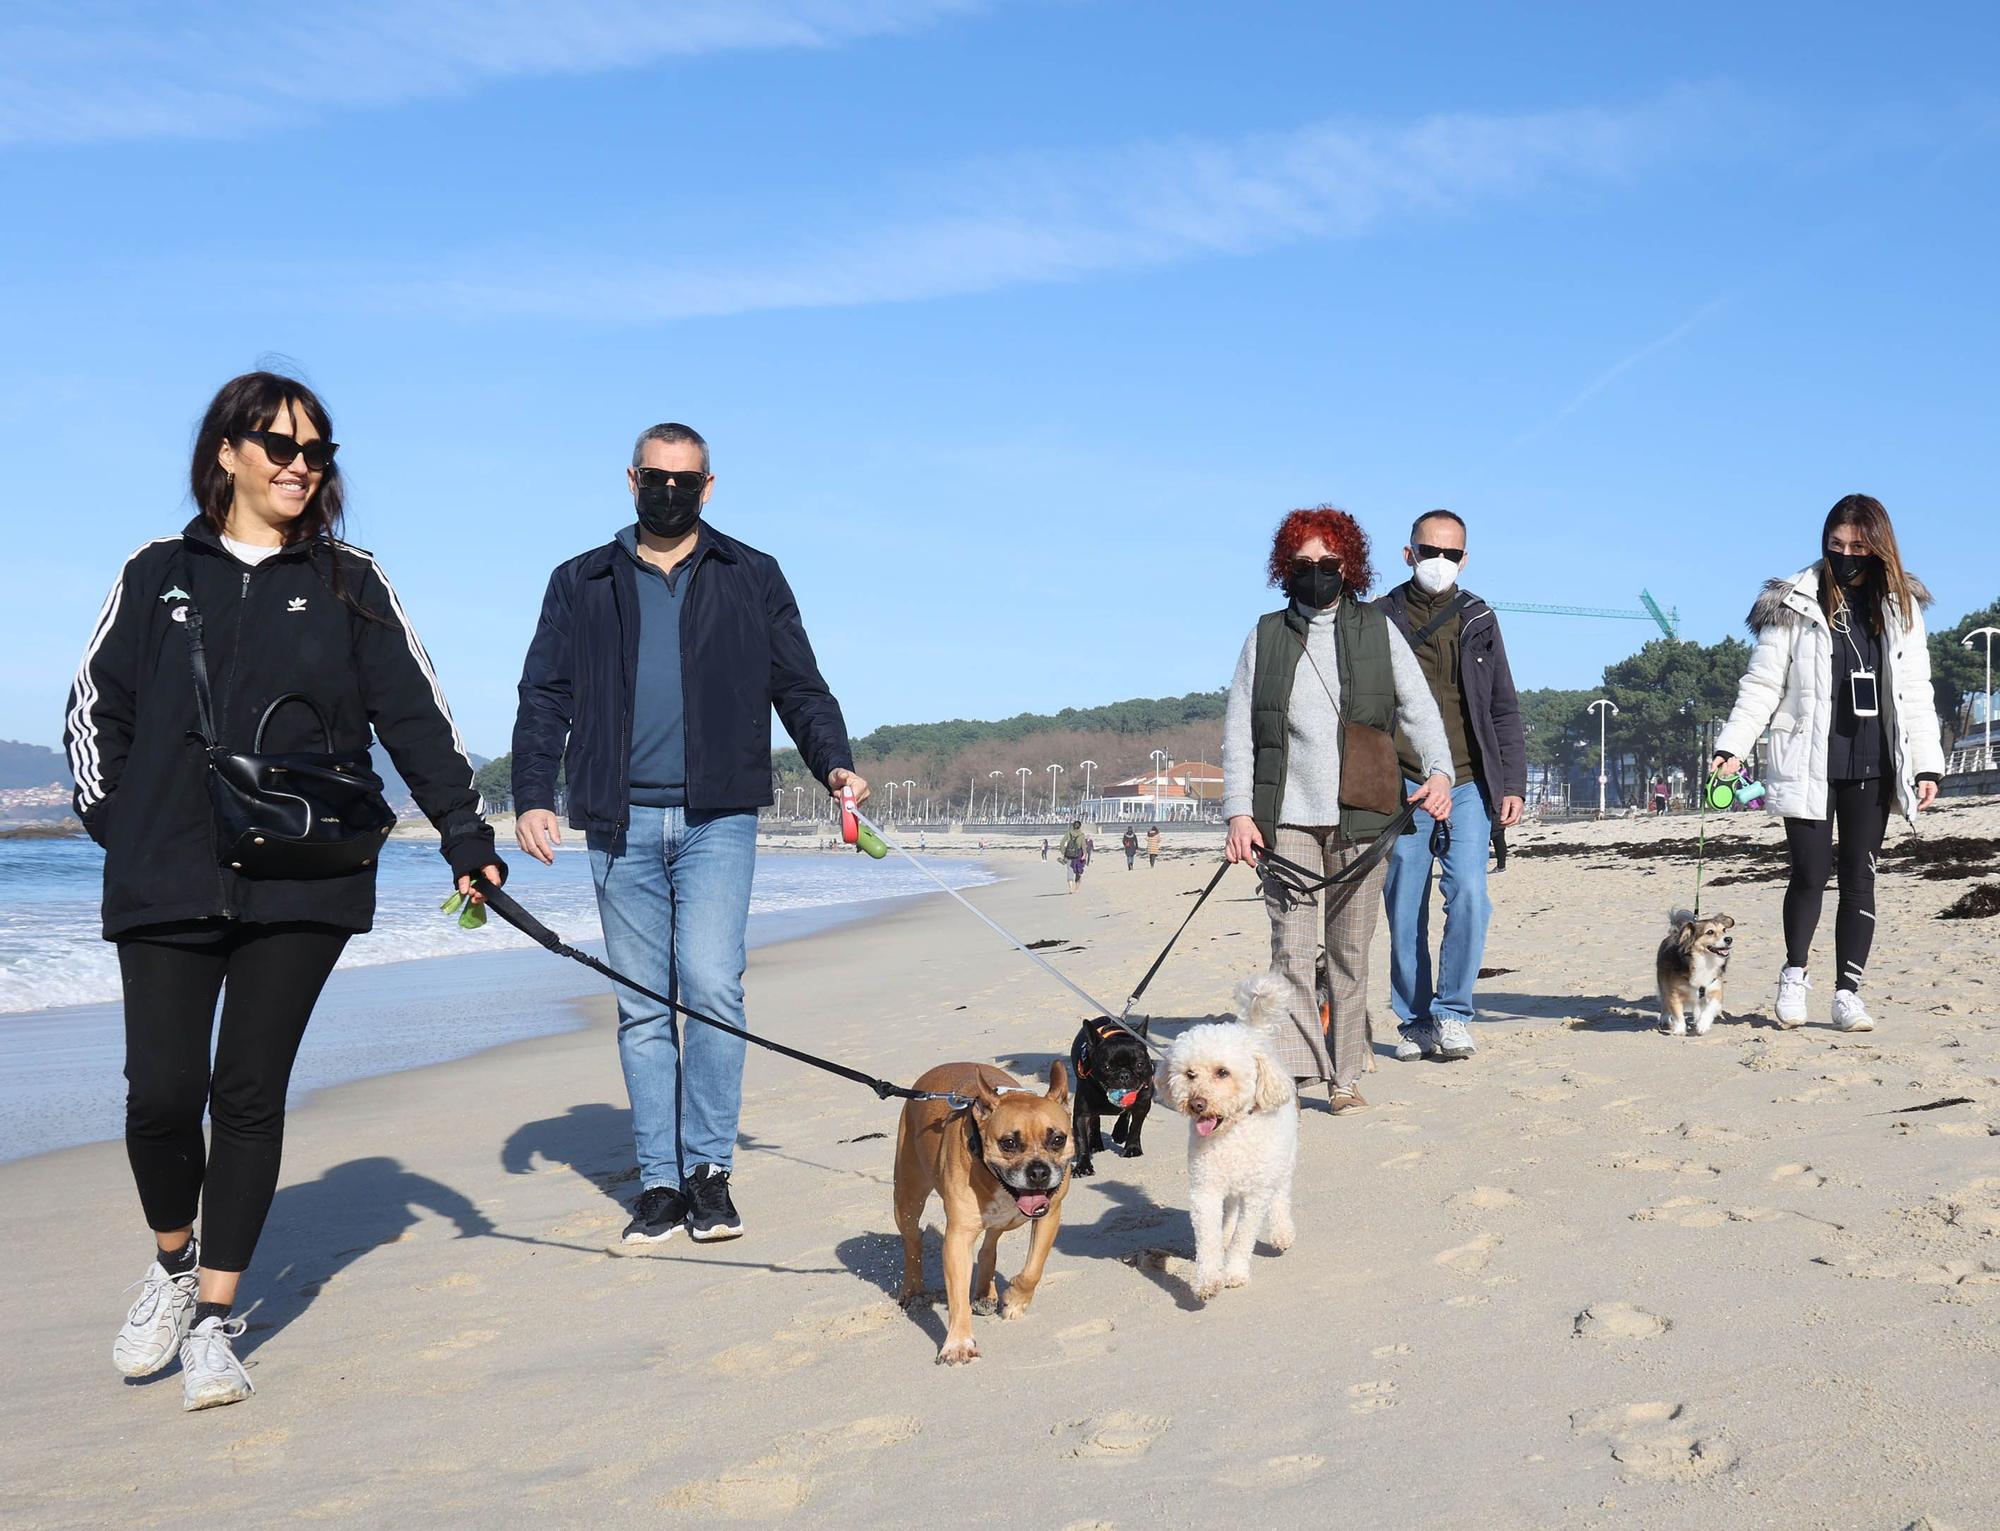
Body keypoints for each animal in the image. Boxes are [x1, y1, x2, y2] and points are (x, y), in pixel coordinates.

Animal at [896, 1063, 1080, 1375]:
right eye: (1008, 1143)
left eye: (1058, 1139)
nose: (1039, 1172)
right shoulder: (957, 1238)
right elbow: (958, 1296)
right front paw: (958, 1344)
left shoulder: (1049, 1216)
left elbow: (1033, 1269)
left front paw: (1015, 1300)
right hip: (907, 1196)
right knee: (912, 1243)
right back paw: (913, 1290)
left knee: (988, 1245)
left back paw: (984, 1291)